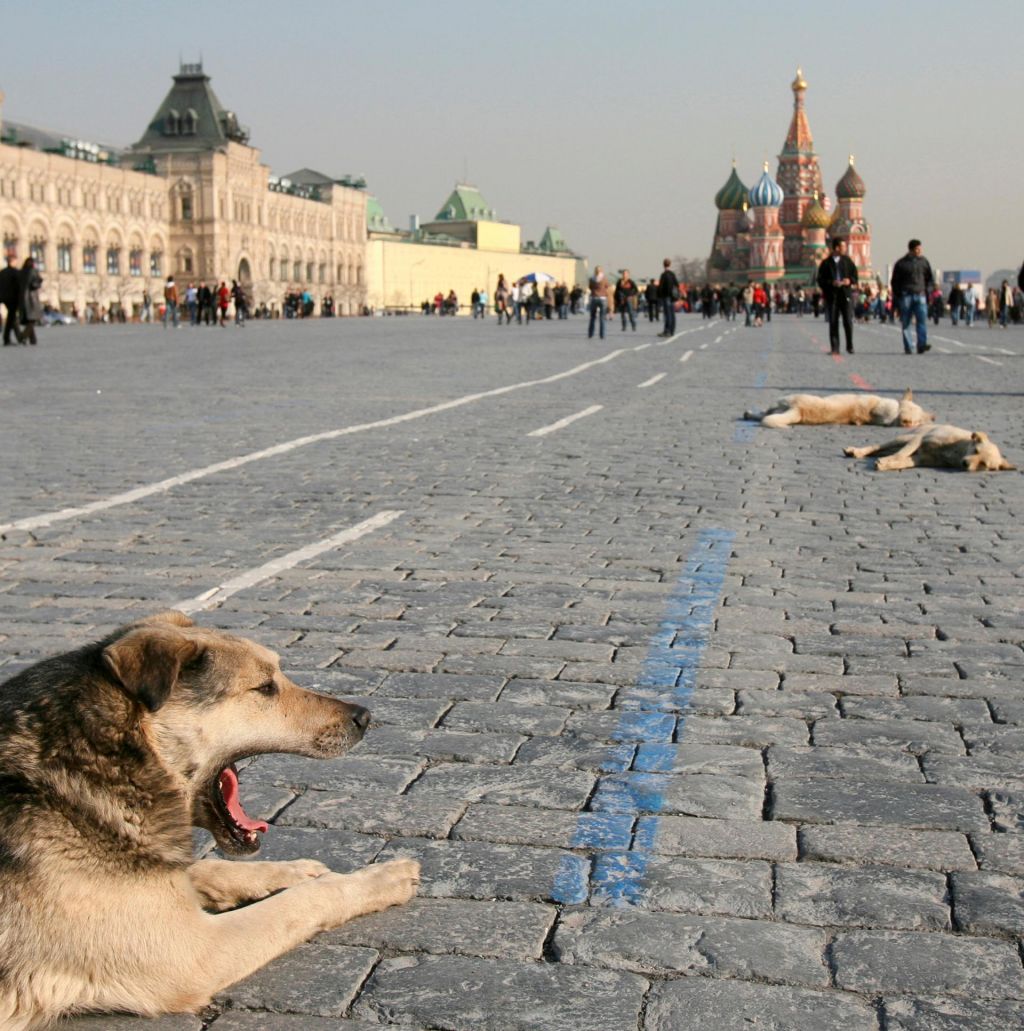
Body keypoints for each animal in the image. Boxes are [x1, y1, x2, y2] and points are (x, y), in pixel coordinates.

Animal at [0, 610, 418, 1022]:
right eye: (265, 688)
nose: (364, 716)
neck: (96, 764)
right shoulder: (192, 953)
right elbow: (304, 901)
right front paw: (379, 878)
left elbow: (209, 868)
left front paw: (295, 870)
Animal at [837, 422, 1014, 472]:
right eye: (976, 450)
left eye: (983, 464)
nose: (965, 464)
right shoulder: (919, 441)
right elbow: (901, 455)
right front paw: (886, 462)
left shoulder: (921, 458)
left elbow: (904, 462)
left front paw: (887, 465)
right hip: (905, 438)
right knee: (876, 447)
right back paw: (857, 451)